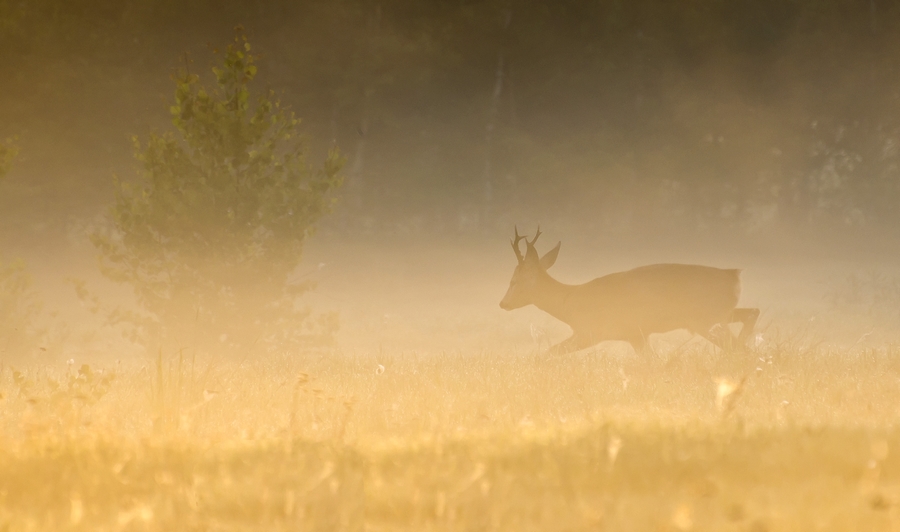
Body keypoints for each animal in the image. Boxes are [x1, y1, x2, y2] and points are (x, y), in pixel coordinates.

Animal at [500, 227, 760, 356]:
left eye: (515, 281)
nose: (503, 303)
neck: (568, 301)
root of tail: (735, 275)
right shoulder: (636, 335)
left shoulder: (591, 331)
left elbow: (548, 353)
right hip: (717, 315)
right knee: (751, 315)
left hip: (704, 318)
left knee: (740, 345)